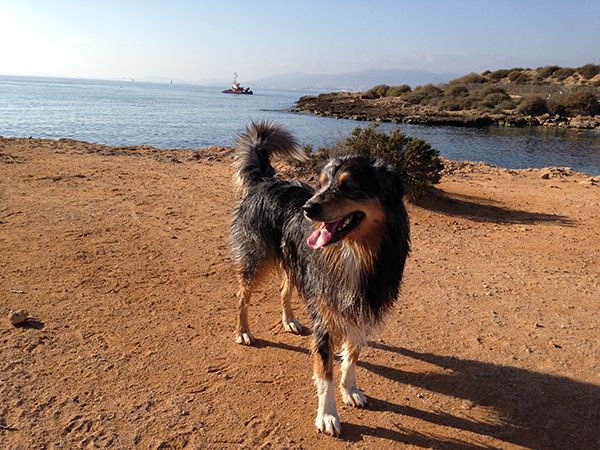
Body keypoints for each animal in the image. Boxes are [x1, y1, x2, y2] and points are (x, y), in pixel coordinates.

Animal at [229, 121, 408, 438]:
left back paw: (289, 320)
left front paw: (350, 388)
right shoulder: (326, 313)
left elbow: (352, 354)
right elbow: (324, 372)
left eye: (349, 187)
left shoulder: (362, 304)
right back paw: (244, 332)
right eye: (322, 184)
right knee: (242, 297)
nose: (307, 209)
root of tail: (265, 180)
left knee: (284, 289)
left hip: (295, 261)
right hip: (256, 258)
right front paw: (327, 415)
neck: (355, 251)